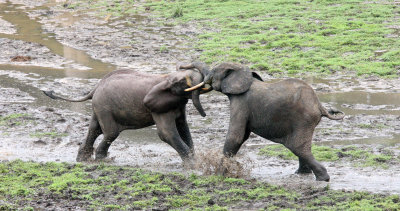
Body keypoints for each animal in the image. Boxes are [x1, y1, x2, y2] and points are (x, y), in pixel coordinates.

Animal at [43, 65, 209, 164]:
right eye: (184, 83)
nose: (204, 115)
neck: (166, 77)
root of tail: (95, 88)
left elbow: (183, 128)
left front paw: (195, 162)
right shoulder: (158, 107)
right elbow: (166, 133)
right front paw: (193, 166)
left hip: (99, 107)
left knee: (95, 129)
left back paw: (83, 160)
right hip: (104, 107)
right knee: (110, 132)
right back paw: (103, 160)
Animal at [183, 61, 346, 181]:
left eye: (213, 71)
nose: (182, 67)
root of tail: (319, 105)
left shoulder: (241, 102)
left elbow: (235, 137)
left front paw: (220, 174)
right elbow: (242, 137)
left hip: (302, 120)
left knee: (297, 147)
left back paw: (323, 178)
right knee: (302, 147)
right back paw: (301, 174)